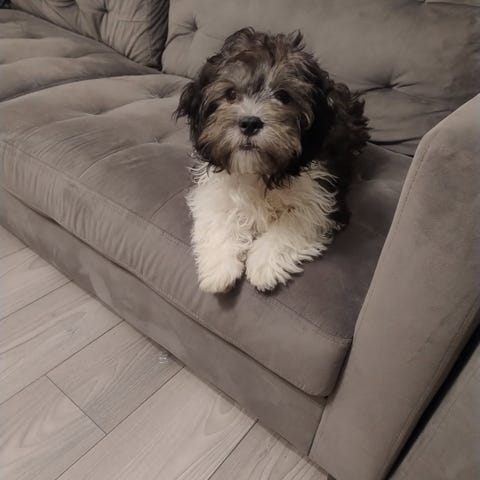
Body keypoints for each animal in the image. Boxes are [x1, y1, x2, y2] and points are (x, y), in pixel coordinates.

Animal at [175, 27, 369, 293]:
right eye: (231, 94)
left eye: (283, 96)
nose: (250, 123)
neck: (260, 171)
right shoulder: (214, 188)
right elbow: (218, 215)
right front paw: (220, 269)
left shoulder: (322, 194)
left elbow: (293, 223)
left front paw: (263, 265)